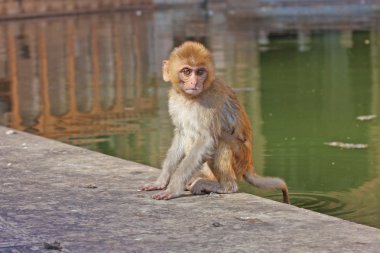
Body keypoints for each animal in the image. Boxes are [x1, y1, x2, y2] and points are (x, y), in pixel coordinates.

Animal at [141, 41, 290, 204]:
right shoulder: (174, 100)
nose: (194, 82)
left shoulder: (209, 101)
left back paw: (224, 186)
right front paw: (161, 181)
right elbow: (181, 134)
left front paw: (173, 189)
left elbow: (207, 140)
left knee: (220, 141)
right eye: (186, 71)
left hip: (240, 158)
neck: (189, 98)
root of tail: (248, 164)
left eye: (200, 72)